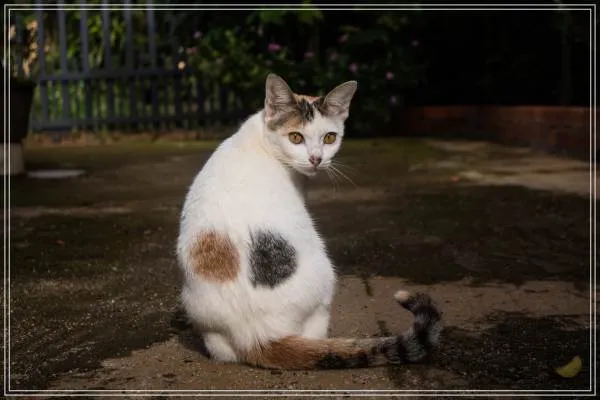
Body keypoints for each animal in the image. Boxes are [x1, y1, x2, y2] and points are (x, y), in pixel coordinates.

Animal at [176, 73, 442, 370]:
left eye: (329, 137)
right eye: (295, 137)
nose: (316, 158)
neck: (264, 139)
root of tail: (257, 336)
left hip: (201, 316)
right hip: (325, 282)